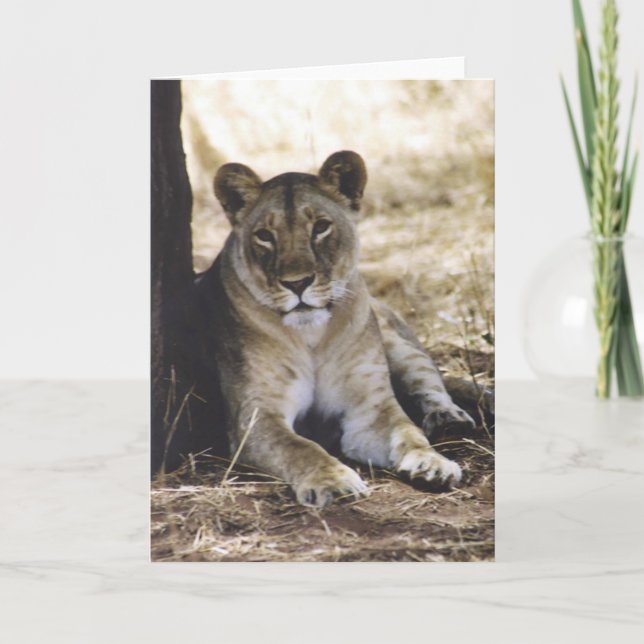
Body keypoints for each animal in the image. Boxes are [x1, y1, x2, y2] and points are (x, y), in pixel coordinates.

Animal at [196, 150, 477, 508]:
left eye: (320, 227)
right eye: (264, 235)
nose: (297, 283)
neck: (311, 336)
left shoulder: (369, 409)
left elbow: (408, 432)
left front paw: (433, 462)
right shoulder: (256, 415)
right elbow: (301, 447)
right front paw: (334, 481)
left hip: (398, 341)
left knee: (429, 380)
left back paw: (449, 420)